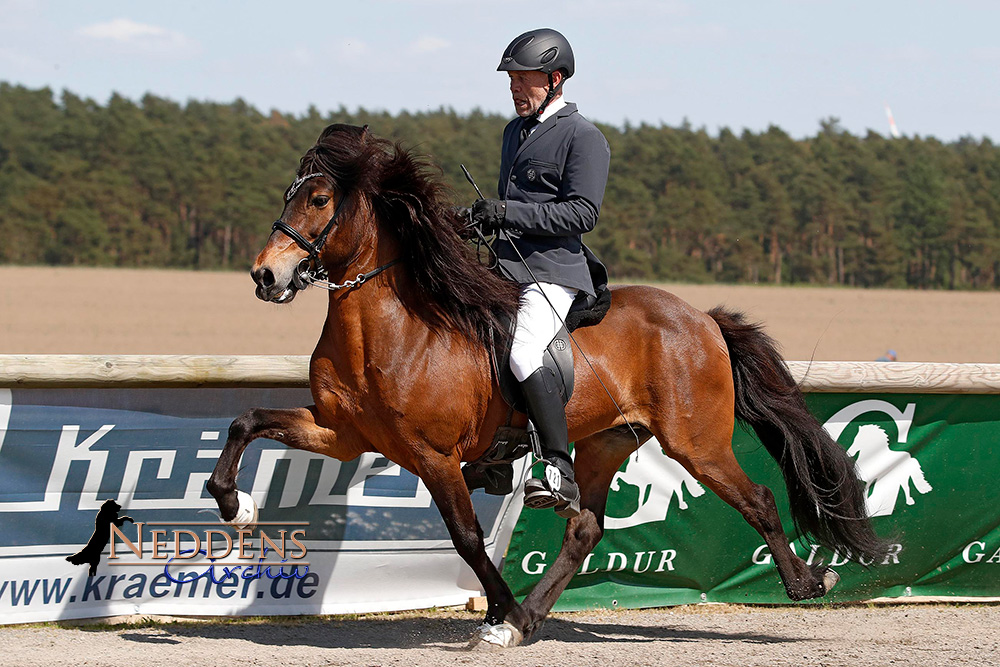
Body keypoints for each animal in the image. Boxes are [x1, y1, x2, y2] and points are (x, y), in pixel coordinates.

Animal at [207, 124, 888, 648]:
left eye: (320, 199)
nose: (266, 275)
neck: (390, 330)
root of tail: (702, 318)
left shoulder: (434, 456)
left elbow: (468, 540)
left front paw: (500, 609)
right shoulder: (343, 433)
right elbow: (246, 420)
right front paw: (235, 505)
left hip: (697, 443)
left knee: (760, 501)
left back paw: (808, 582)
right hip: (606, 441)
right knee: (584, 528)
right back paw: (530, 617)